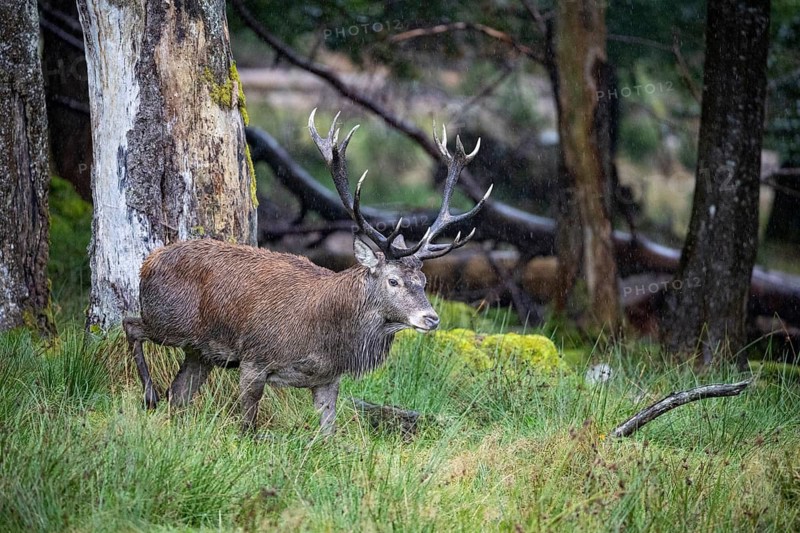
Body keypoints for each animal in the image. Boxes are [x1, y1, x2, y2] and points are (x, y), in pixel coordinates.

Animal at [122, 109, 492, 434]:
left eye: (424, 281)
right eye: (393, 280)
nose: (432, 318)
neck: (325, 339)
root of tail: (148, 261)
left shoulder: (327, 380)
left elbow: (328, 434)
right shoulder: (255, 357)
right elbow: (246, 426)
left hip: (200, 351)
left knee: (179, 392)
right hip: (169, 321)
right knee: (131, 325)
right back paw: (149, 395)